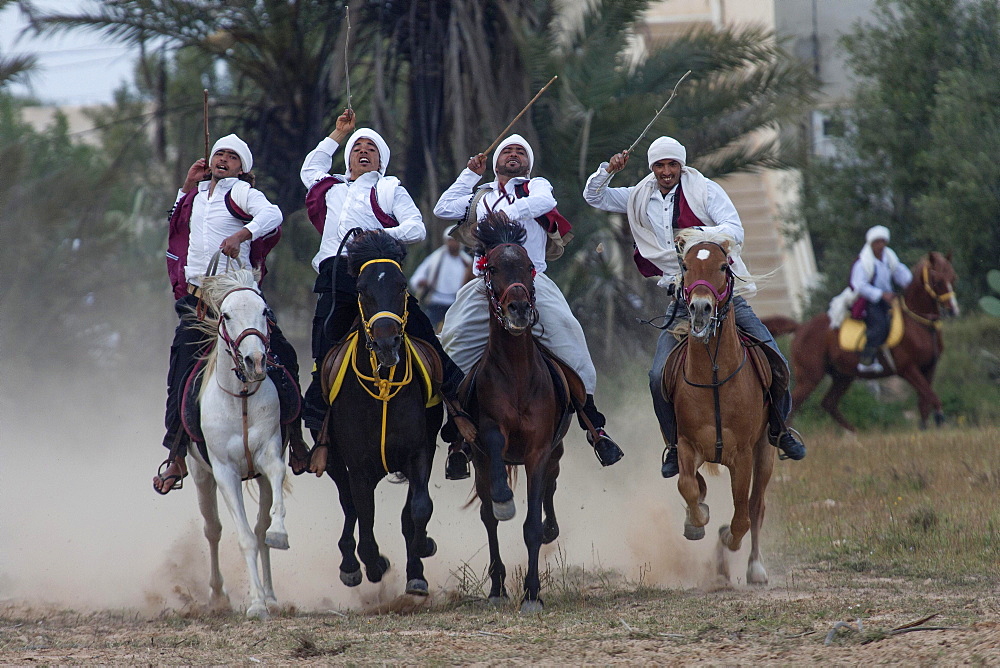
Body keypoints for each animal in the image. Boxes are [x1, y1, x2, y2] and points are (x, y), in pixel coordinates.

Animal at [308, 232, 442, 596]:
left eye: (402, 285)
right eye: (362, 289)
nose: (386, 344)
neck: (382, 384)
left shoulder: (419, 451)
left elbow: (418, 510)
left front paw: (420, 561)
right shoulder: (358, 466)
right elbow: (364, 517)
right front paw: (372, 564)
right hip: (335, 461)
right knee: (350, 507)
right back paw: (351, 565)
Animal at [462, 211, 576, 612]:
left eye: (529, 267)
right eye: (492, 267)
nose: (519, 309)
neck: (516, 374)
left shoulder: (539, 452)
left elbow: (532, 525)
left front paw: (533, 593)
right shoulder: (488, 437)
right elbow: (496, 457)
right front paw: (504, 502)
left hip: (556, 452)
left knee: (551, 493)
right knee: (487, 517)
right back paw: (497, 586)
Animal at [664, 230, 772, 584]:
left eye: (724, 266)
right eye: (684, 266)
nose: (700, 308)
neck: (713, 377)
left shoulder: (743, 454)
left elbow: (741, 516)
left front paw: (727, 537)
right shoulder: (686, 444)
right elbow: (688, 485)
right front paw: (696, 520)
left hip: (766, 451)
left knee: (756, 506)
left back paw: (754, 566)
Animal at [764, 252, 960, 434]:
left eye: (953, 277)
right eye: (938, 281)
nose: (953, 310)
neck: (918, 323)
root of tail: (801, 327)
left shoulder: (928, 367)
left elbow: (924, 402)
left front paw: (926, 430)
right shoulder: (908, 369)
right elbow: (932, 398)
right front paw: (940, 421)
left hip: (843, 376)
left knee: (828, 403)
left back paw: (854, 434)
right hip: (810, 377)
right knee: (794, 408)